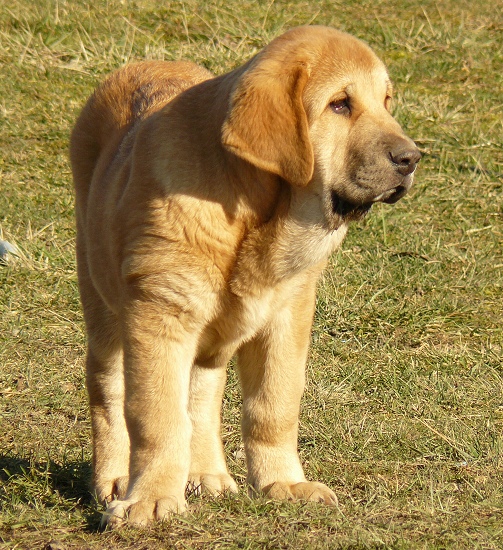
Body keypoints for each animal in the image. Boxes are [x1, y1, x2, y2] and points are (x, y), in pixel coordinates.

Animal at [70, 25, 422, 532]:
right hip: (102, 305)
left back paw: (206, 473)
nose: (411, 158)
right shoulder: (160, 314)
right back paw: (116, 478)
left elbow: (274, 405)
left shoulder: (287, 314)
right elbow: (157, 416)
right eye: (340, 104)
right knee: (108, 388)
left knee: (202, 390)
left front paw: (284, 483)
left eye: (387, 101)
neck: (257, 212)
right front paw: (150, 500)